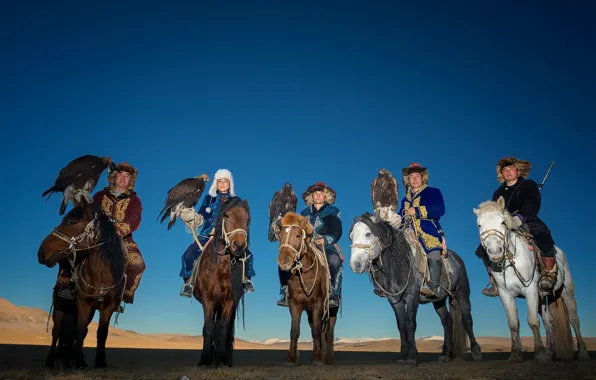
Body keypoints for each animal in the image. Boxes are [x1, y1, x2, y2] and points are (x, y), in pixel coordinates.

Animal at [36, 197, 127, 370]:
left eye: (72, 221)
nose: (41, 253)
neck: (101, 275)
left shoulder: (108, 306)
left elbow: (101, 332)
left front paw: (99, 362)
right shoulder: (82, 302)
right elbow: (80, 330)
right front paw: (76, 362)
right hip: (59, 306)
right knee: (56, 332)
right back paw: (50, 361)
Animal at [193, 197, 251, 366]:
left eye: (247, 219)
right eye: (226, 215)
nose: (239, 245)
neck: (221, 268)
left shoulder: (230, 300)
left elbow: (223, 329)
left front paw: (221, 360)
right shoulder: (208, 299)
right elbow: (208, 327)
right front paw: (205, 359)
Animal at [278, 211, 338, 366]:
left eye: (298, 235)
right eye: (279, 235)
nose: (283, 261)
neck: (304, 276)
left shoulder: (318, 304)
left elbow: (316, 332)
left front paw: (317, 360)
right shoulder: (295, 304)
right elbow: (294, 331)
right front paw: (291, 359)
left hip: (331, 311)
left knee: (329, 333)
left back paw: (328, 359)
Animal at [346, 214, 482, 366]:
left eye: (368, 234)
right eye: (351, 236)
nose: (355, 264)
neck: (400, 264)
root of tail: (456, 258)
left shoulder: (412, 296)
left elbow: (410, 323)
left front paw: (411, 357)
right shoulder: (395, 300)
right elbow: (401, 325)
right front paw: (402, 356)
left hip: (462, 293)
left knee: (467, 319)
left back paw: (476, 352)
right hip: (438, 300)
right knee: (447, 321)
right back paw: (445, 355)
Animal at [472, 196, 588, 362]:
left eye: (502, 222)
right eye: (479, 225)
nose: (495, 252)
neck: (511, 260)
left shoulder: (530, 290)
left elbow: (533, 321)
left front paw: (539, 352)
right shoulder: (506, 294)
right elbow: (513, 323)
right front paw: (515, 354)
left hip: (567, 293)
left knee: (574, 319)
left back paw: (583, 353)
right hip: (543, 298)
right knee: (549, 322)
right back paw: (550, 353)